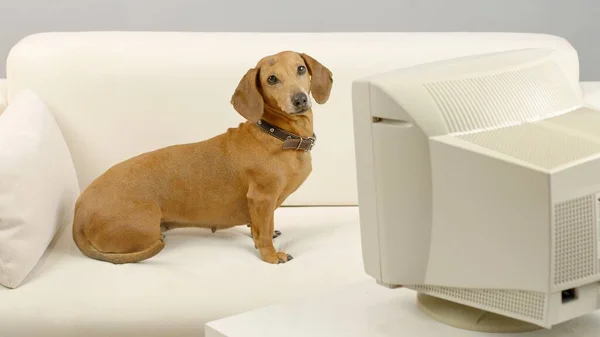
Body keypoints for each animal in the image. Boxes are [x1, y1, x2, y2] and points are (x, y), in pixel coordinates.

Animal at [72, 51, 332, 264]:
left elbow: (262, 228)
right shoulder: (262, 198)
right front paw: (270, 255)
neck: (277, 135)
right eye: (271, 79)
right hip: (146, 228)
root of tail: (79, 215)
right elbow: (264, 234)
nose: (300, 99)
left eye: (300, 68)